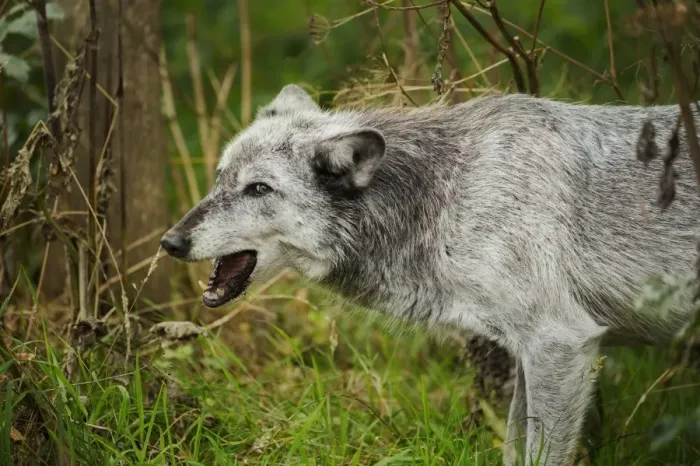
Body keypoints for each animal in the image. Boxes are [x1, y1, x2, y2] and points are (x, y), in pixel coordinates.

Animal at [161, 84, 699, 465]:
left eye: (258, 189)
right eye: (219, 179)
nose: (170, 242)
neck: (448, 195)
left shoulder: (561, 343)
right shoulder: (533, 352)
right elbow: (513, 451)